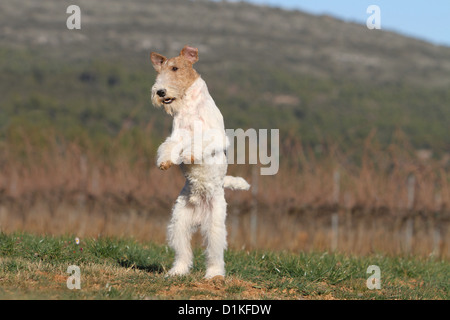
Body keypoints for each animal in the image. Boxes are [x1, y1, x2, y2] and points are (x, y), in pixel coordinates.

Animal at [150, 45, 250, 278]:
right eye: (160, 71)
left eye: (175, 68)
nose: (160, 92)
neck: (188, 106)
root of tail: (198, 216)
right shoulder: (176, 135)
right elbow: (168, 147)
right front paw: (165, 162)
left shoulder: (214, 135)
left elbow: (198, 144)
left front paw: (189, 155)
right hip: (179, 222)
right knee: (183, 253)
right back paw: (176, 271)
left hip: (215, 224)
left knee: (214, 254)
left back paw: (214, 275)